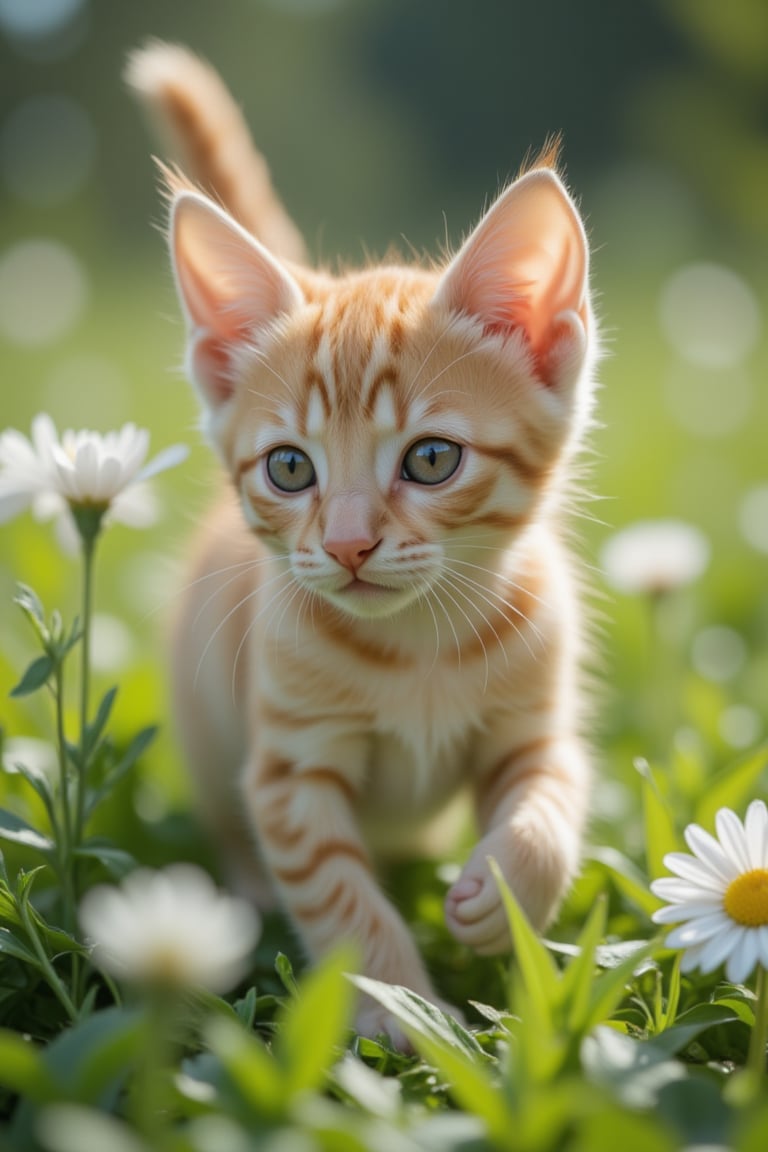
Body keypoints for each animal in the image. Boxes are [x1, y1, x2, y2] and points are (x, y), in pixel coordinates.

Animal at [128, 40, 598, 1041]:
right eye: (289, 469)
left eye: (431, 459)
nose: (345, 546)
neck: (419, 649)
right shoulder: (287, 772)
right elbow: (341, 901)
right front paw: (402, 1016)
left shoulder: (533, 725)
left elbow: (555, 792)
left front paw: (506, 888)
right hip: (207, 727)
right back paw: (246, 892)